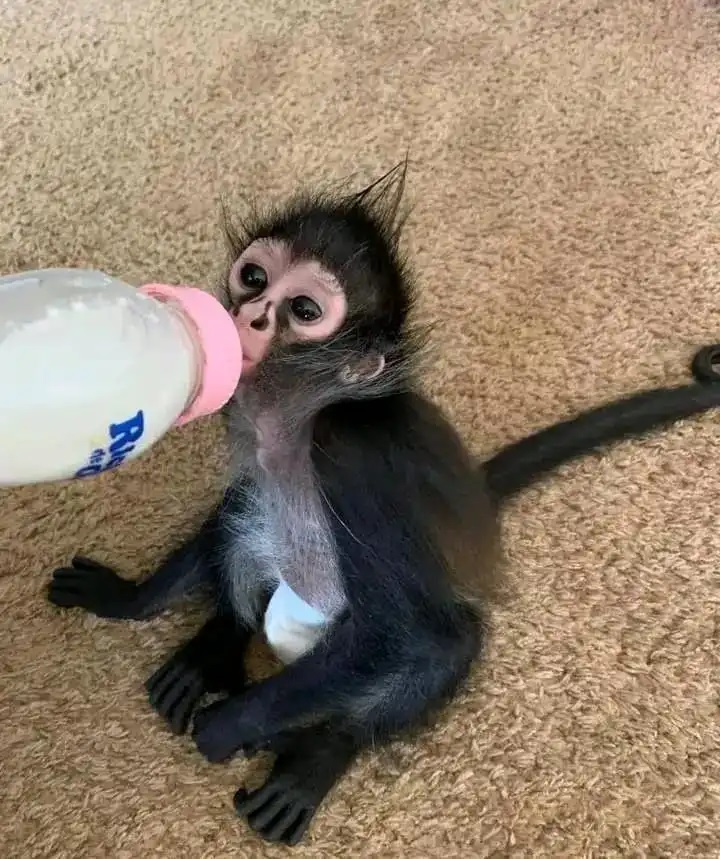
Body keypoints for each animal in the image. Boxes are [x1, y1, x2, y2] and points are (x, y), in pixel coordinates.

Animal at [46, 163, 720, 846]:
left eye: (304, 310)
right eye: (255, 278)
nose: (251, 316)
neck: (306, 415)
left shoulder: (349, 454)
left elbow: (417, 636)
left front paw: (234, 727)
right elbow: (237, 501)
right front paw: (131, 600)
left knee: (442, 642)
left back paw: (315, 756)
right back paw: (217, 648)